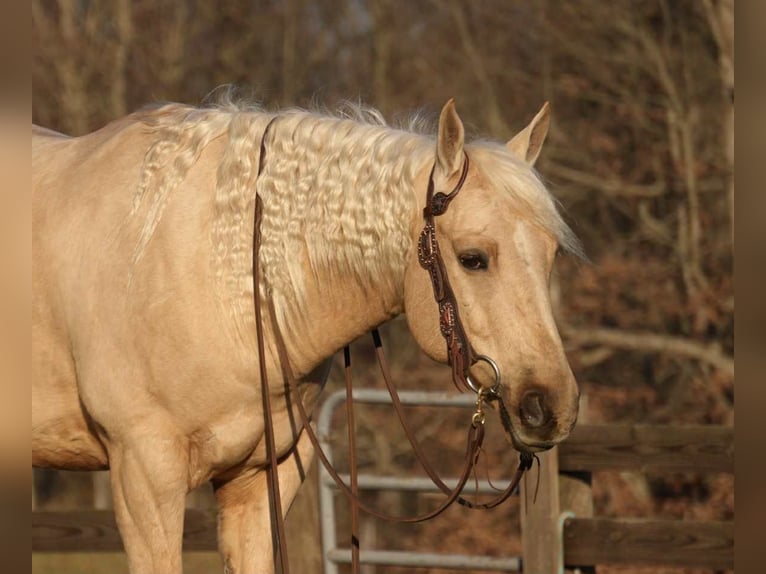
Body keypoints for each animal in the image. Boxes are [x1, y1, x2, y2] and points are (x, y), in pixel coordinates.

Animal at [32, 97, 582, 573]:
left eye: (552, 253)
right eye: (473, 258)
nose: (551, 406)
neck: (219, 276)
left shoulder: (260, 480)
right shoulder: (144, 479)